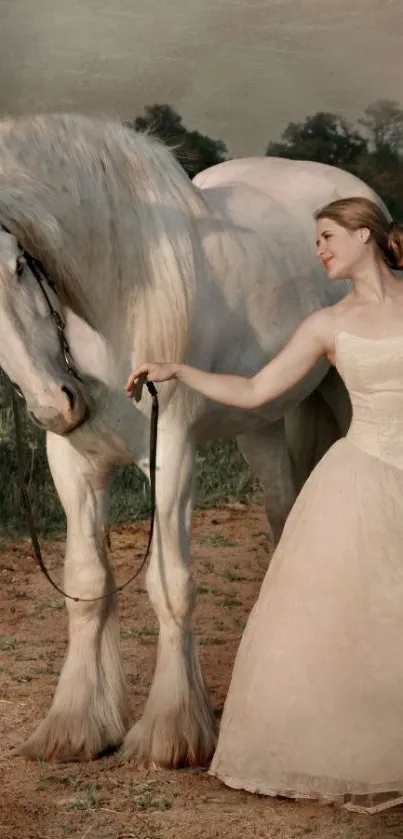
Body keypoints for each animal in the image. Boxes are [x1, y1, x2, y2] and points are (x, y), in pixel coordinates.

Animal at [0, 113, 388, 768]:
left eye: (19, 268)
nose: (56, 404)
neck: (117, 297)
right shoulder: (75, 464)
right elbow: (87, 584)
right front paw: (75, 726)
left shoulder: (173, 454)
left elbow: (170, 587)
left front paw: (170, 733)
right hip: (260, 422)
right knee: (282, 511)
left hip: (342, 394)